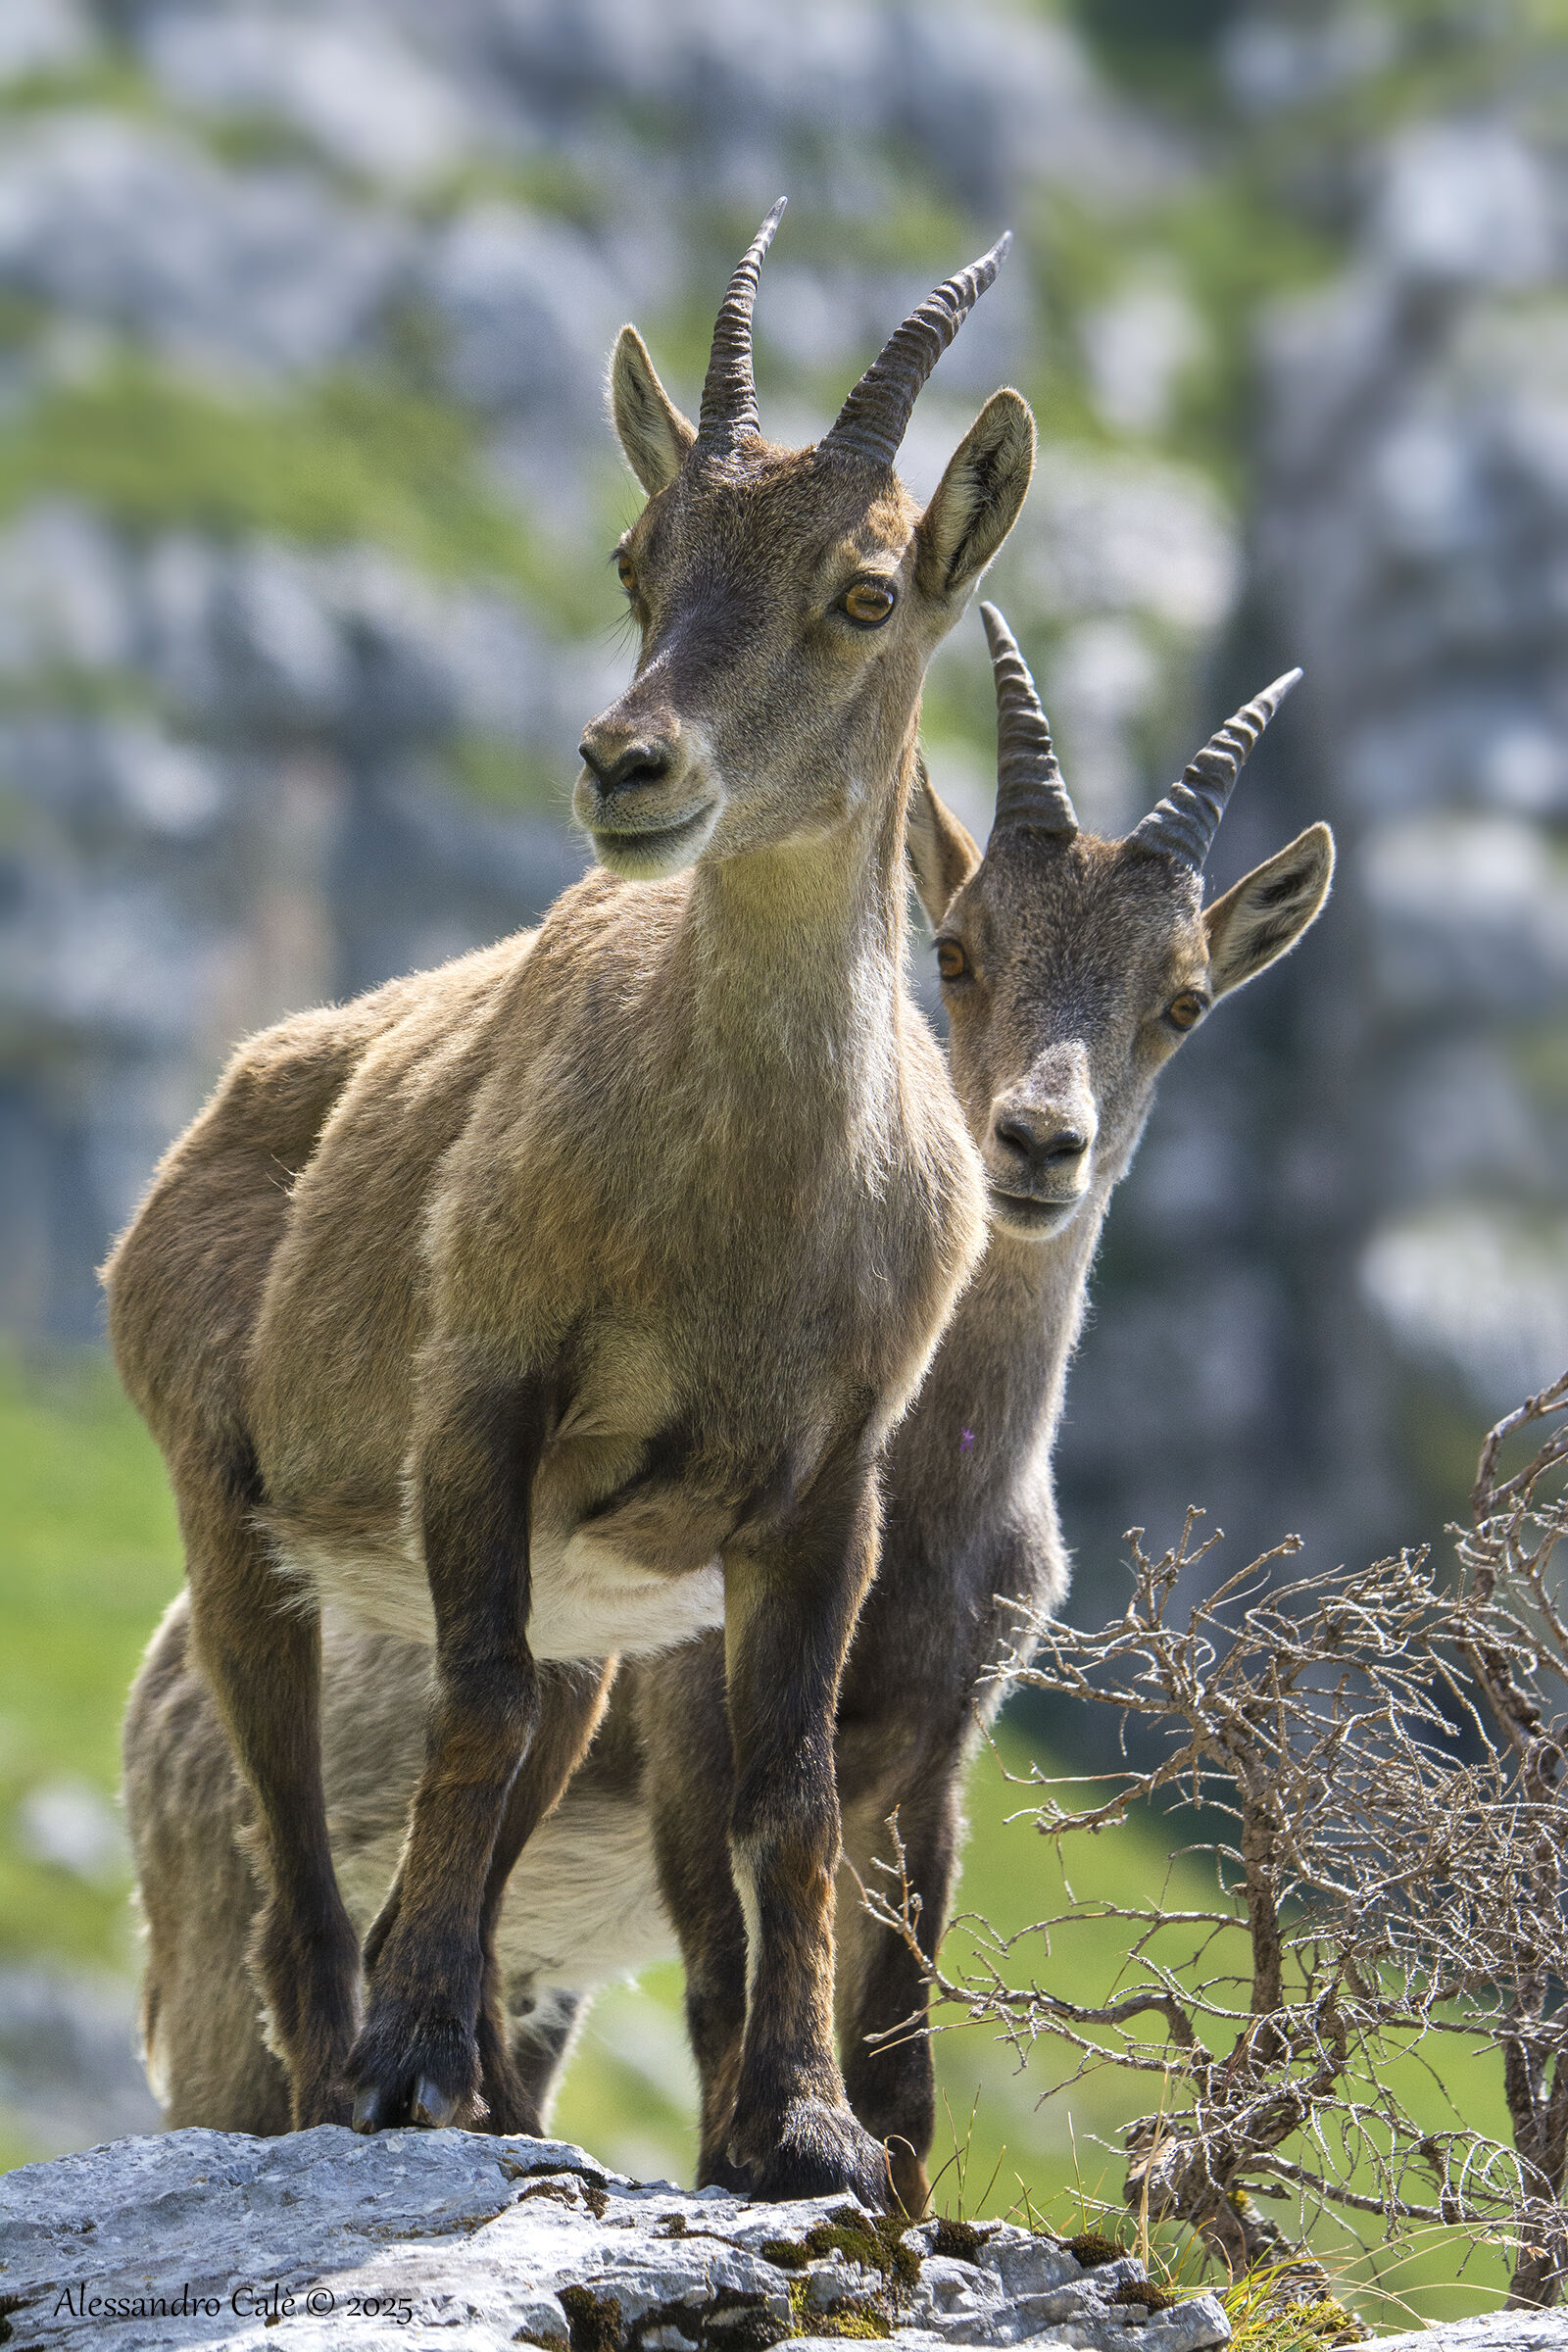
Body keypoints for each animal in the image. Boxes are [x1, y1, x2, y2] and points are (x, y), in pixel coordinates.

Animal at [124, 605, 1333, 2214]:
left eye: (1182, 1002)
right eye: (956, 951)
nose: (1036, 1142)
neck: (934, 1497)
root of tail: (149, 1699)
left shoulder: (936, 1756)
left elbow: (904, 2056)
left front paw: (878, 2178)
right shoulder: (694, 1732)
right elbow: (716, 1986)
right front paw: (755, 2155)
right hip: (228, 1892)